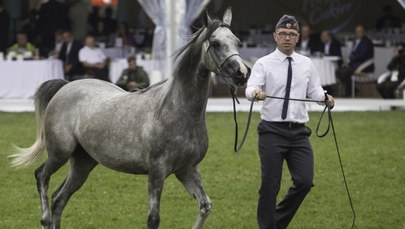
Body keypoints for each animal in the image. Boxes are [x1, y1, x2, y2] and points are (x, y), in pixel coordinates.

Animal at [8, 7, 249, 229]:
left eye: (237, 42)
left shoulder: (186, 170)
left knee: (59, 200)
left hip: (83, 163)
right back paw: (44, 218)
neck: (177, 110)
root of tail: (66, 86)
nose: (242, 73)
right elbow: (153, 220)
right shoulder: (157, 172)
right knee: (41, 177)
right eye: (215, 43)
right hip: (60, 153)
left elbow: (205, 206)